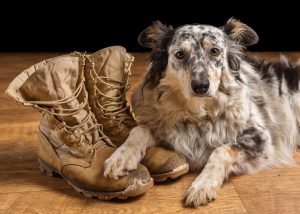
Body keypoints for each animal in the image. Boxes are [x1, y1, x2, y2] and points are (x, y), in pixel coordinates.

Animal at [103, 18, 300, 207]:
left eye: (214, 51)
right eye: (180, 54)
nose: (201, 86)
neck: (198, 114)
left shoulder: (260, 138)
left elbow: (221, 150)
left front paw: (202, 185)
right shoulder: (168, 131)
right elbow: (139, 130)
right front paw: (120, 157)